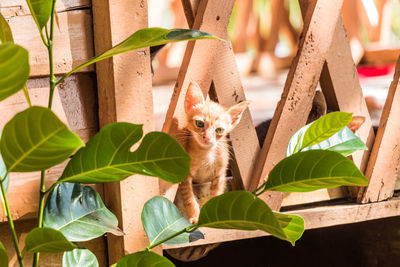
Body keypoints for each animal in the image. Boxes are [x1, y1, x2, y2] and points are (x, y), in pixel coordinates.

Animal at [179, 81, 250, 224]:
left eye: (219, 130)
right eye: (199, 123)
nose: (207, 137)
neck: (206, 153)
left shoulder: (220, 175)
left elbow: (216, 196)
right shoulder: (185, 177)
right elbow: (189, 198)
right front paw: (195, 216)